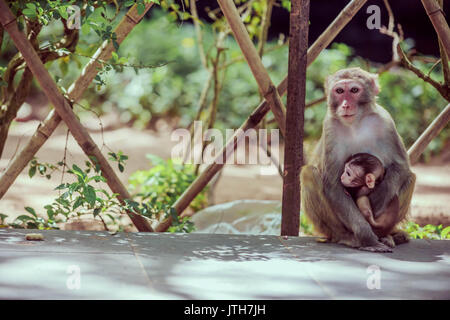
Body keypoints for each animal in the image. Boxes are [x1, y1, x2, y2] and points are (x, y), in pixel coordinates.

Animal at [300, 67, 416, 252]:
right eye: (340, 91)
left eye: (354, 90)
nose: (346, 104)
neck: (356, 123)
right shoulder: (330, 127)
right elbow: (333, 183)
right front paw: (367, 236)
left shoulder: (386, 121)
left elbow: (401, 166)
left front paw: (374, 204)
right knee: (309, 173)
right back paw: (346, 237)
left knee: (410, 177)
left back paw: (389, 235)